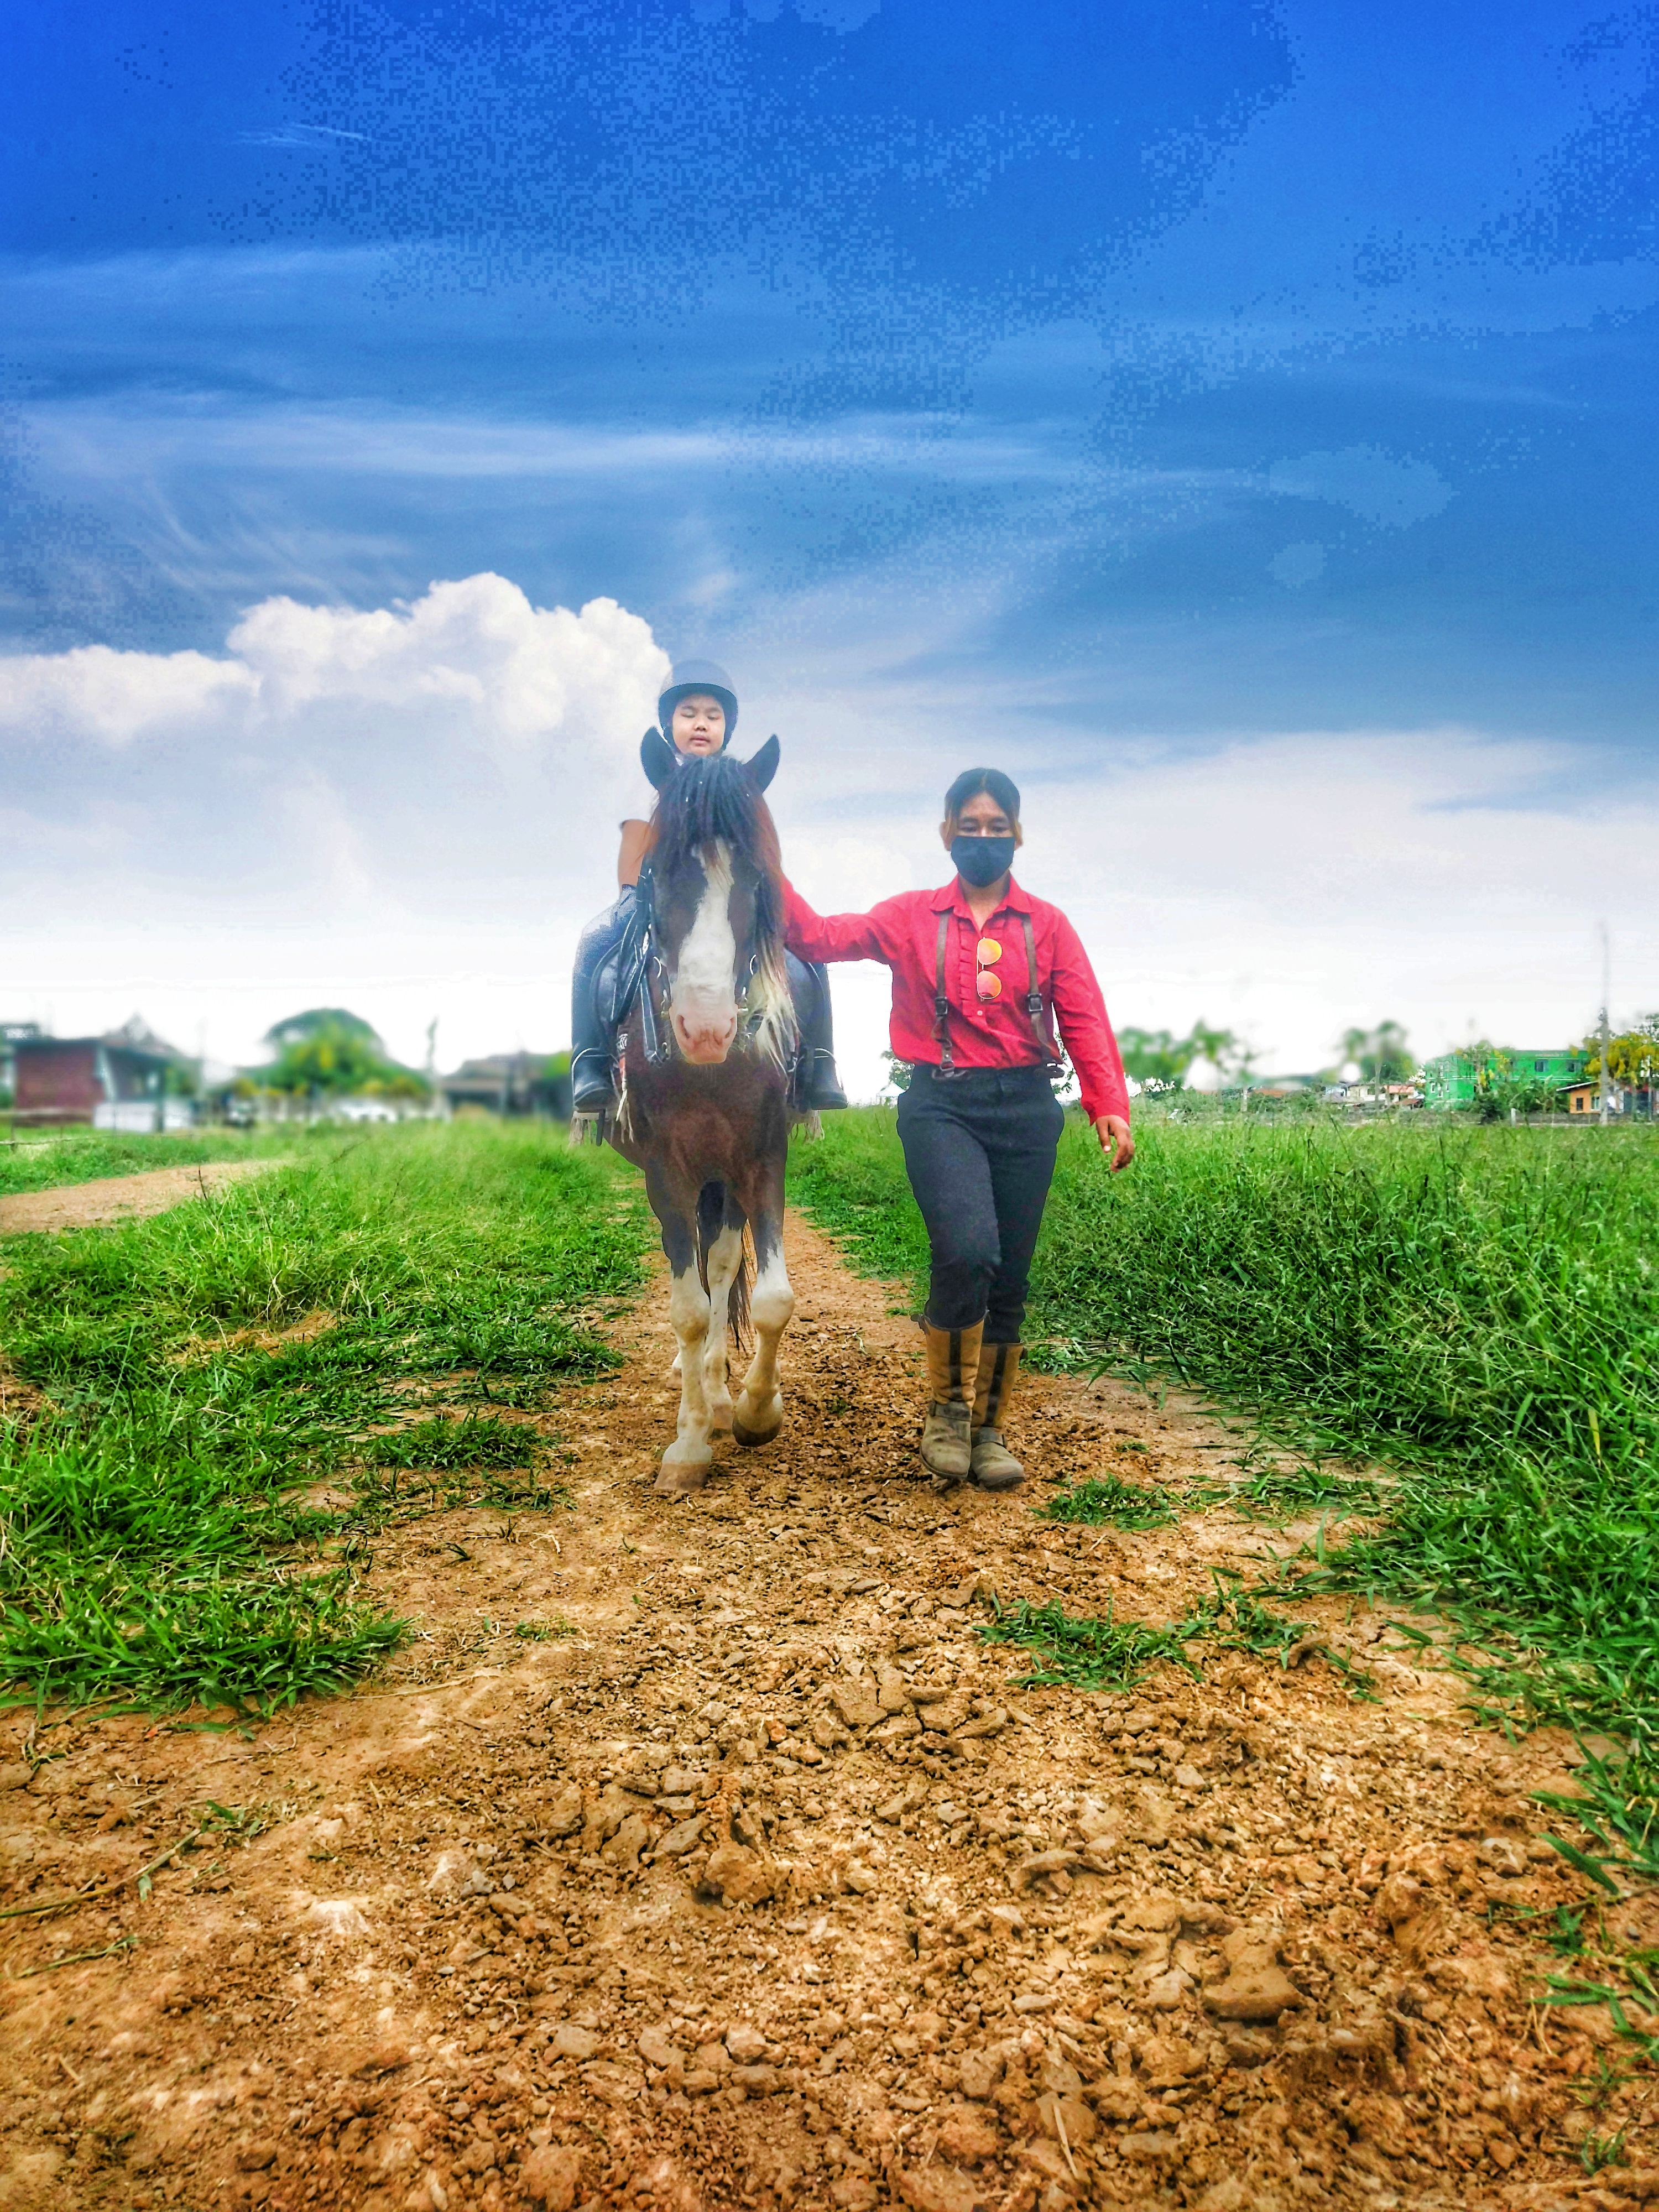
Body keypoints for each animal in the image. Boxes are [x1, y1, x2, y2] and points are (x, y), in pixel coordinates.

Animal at [603, 731, 800, 1494]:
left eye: (760, 877)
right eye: (655, 872)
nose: (708, 1028)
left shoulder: (762, 1160)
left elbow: (768, 1297)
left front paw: (753, 1411)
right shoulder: (668, 1173)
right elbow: (687, 1310)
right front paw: (688, 1444)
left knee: (719, 1268)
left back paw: (718, 1391)